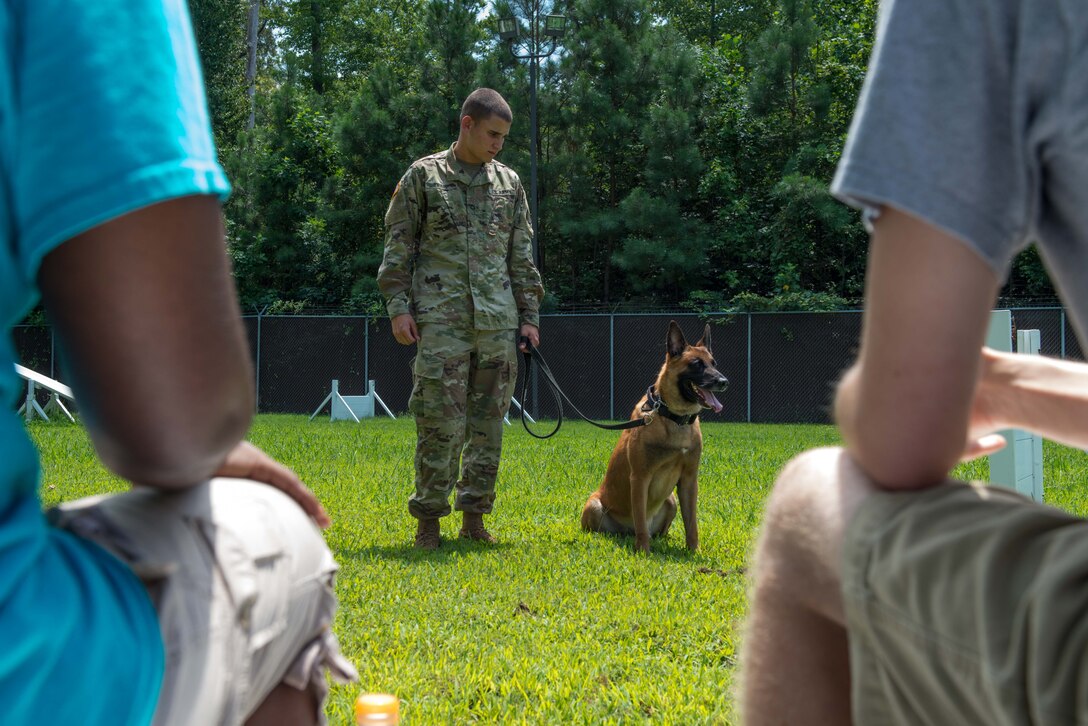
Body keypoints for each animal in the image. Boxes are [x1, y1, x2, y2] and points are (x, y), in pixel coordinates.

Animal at [583, 320, 726, 552]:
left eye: (713, 363)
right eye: (696, 364)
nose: (723, 381)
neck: (675, 418)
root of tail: (626, 531)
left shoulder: (689, 480)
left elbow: (692, 523)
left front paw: (693, 551)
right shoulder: (640, 477)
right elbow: (640, 519)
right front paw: (643, 550)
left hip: (671, 500)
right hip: (594, 505)